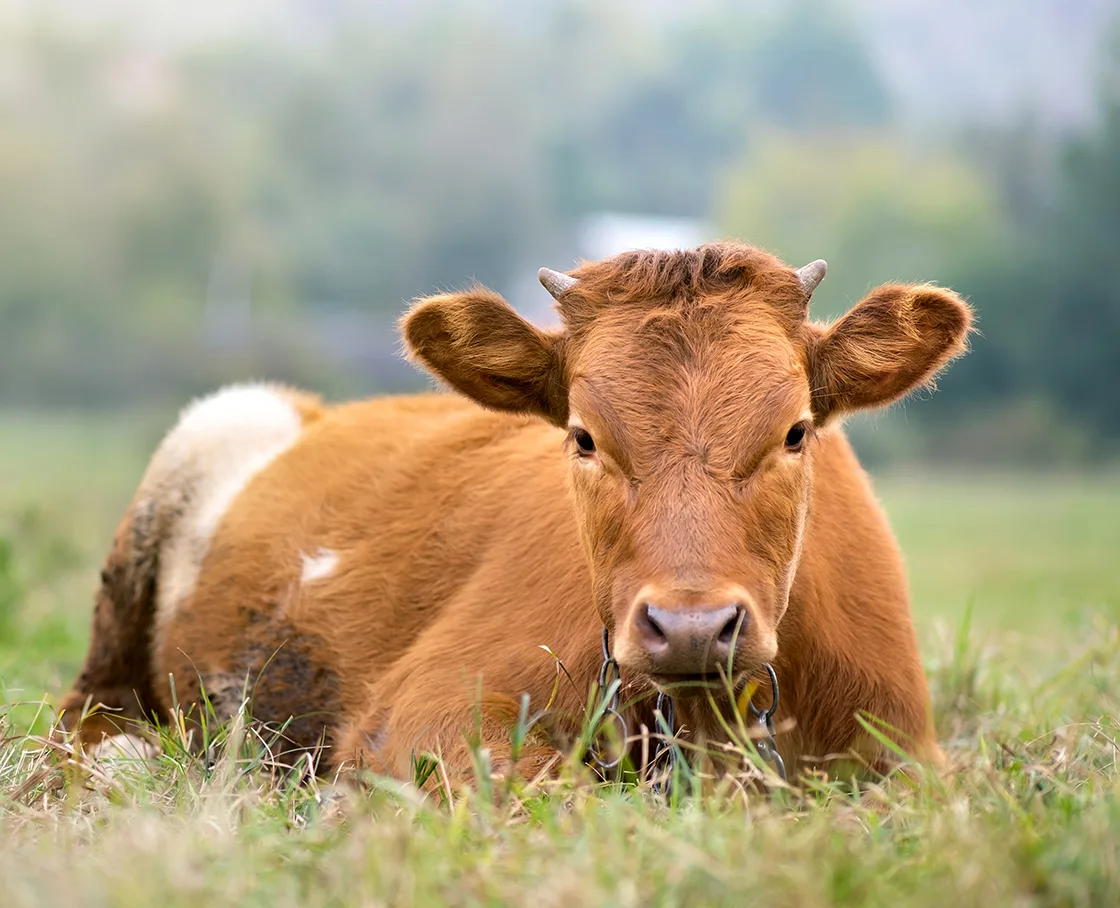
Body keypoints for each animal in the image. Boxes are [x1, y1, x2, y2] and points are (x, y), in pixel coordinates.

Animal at [58, 242, 971, 787]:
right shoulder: (424, 715)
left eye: (795, 432)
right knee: (89, 716)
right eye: (582, 436)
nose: (690, 626)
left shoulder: (908, 758)